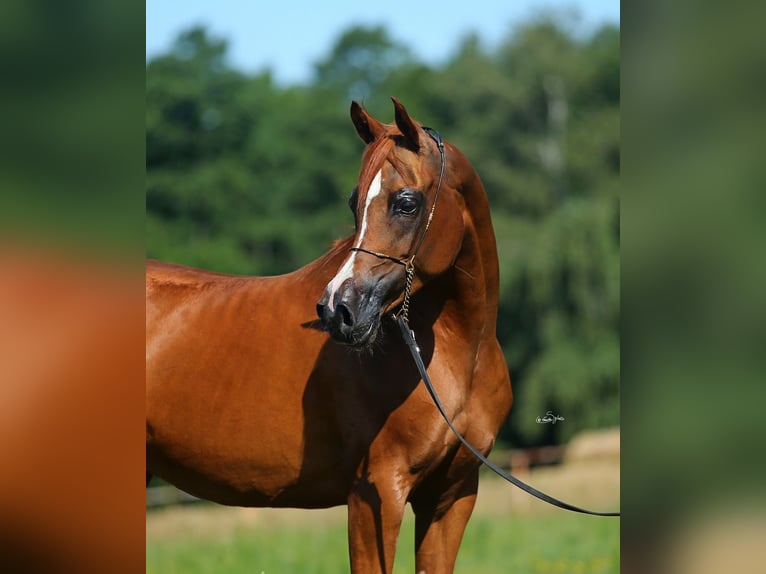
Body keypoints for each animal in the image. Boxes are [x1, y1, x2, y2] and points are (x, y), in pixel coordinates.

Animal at [146, 97, 513, 573]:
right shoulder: (375, 495)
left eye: (407, 202)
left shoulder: (452, 495)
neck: (458, 357)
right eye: (355, 202)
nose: (338, 310)